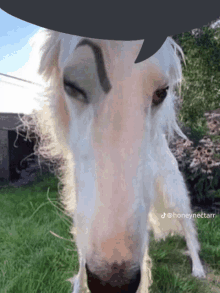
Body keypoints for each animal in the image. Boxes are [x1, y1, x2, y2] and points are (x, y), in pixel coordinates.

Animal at [28, 28, 205, 290]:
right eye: (71, 85)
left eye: (162, 92)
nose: (113, 285)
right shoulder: (83, 211)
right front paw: (79, 284)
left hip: (174, 194)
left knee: (190, 233)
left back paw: (198, 268)